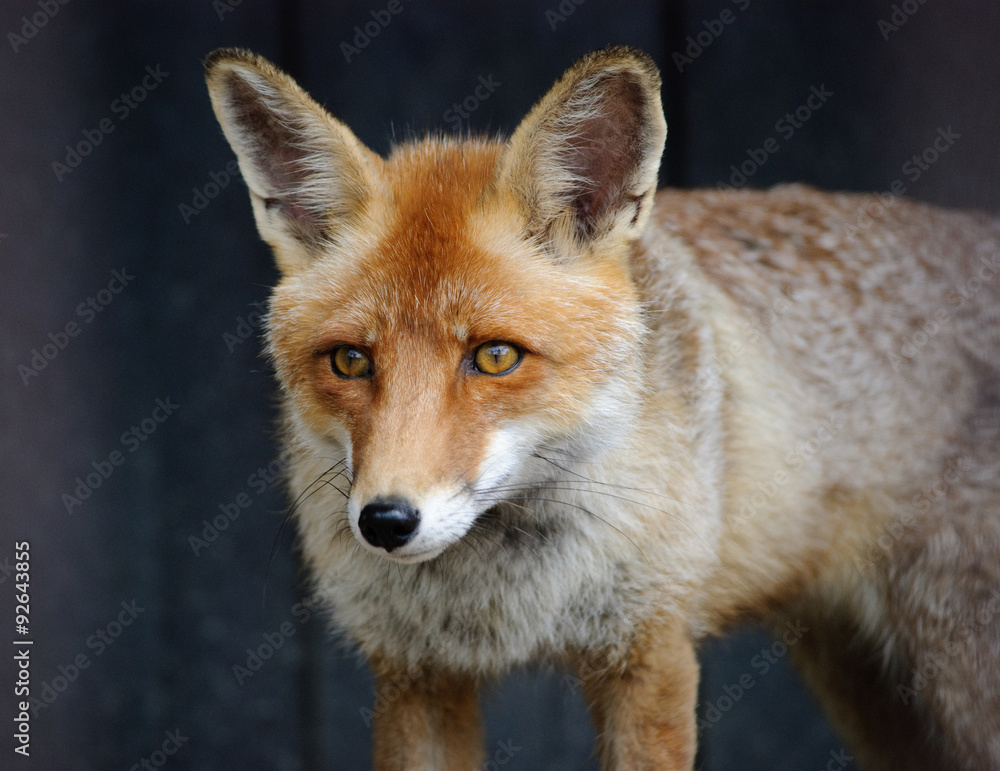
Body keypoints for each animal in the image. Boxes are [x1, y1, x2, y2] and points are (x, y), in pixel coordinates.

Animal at [205, 46, 1000, 769]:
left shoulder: (651, 650)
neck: (506, 595)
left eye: (495, 356)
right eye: (350, 361)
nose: (387, 521)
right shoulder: (418, 674)